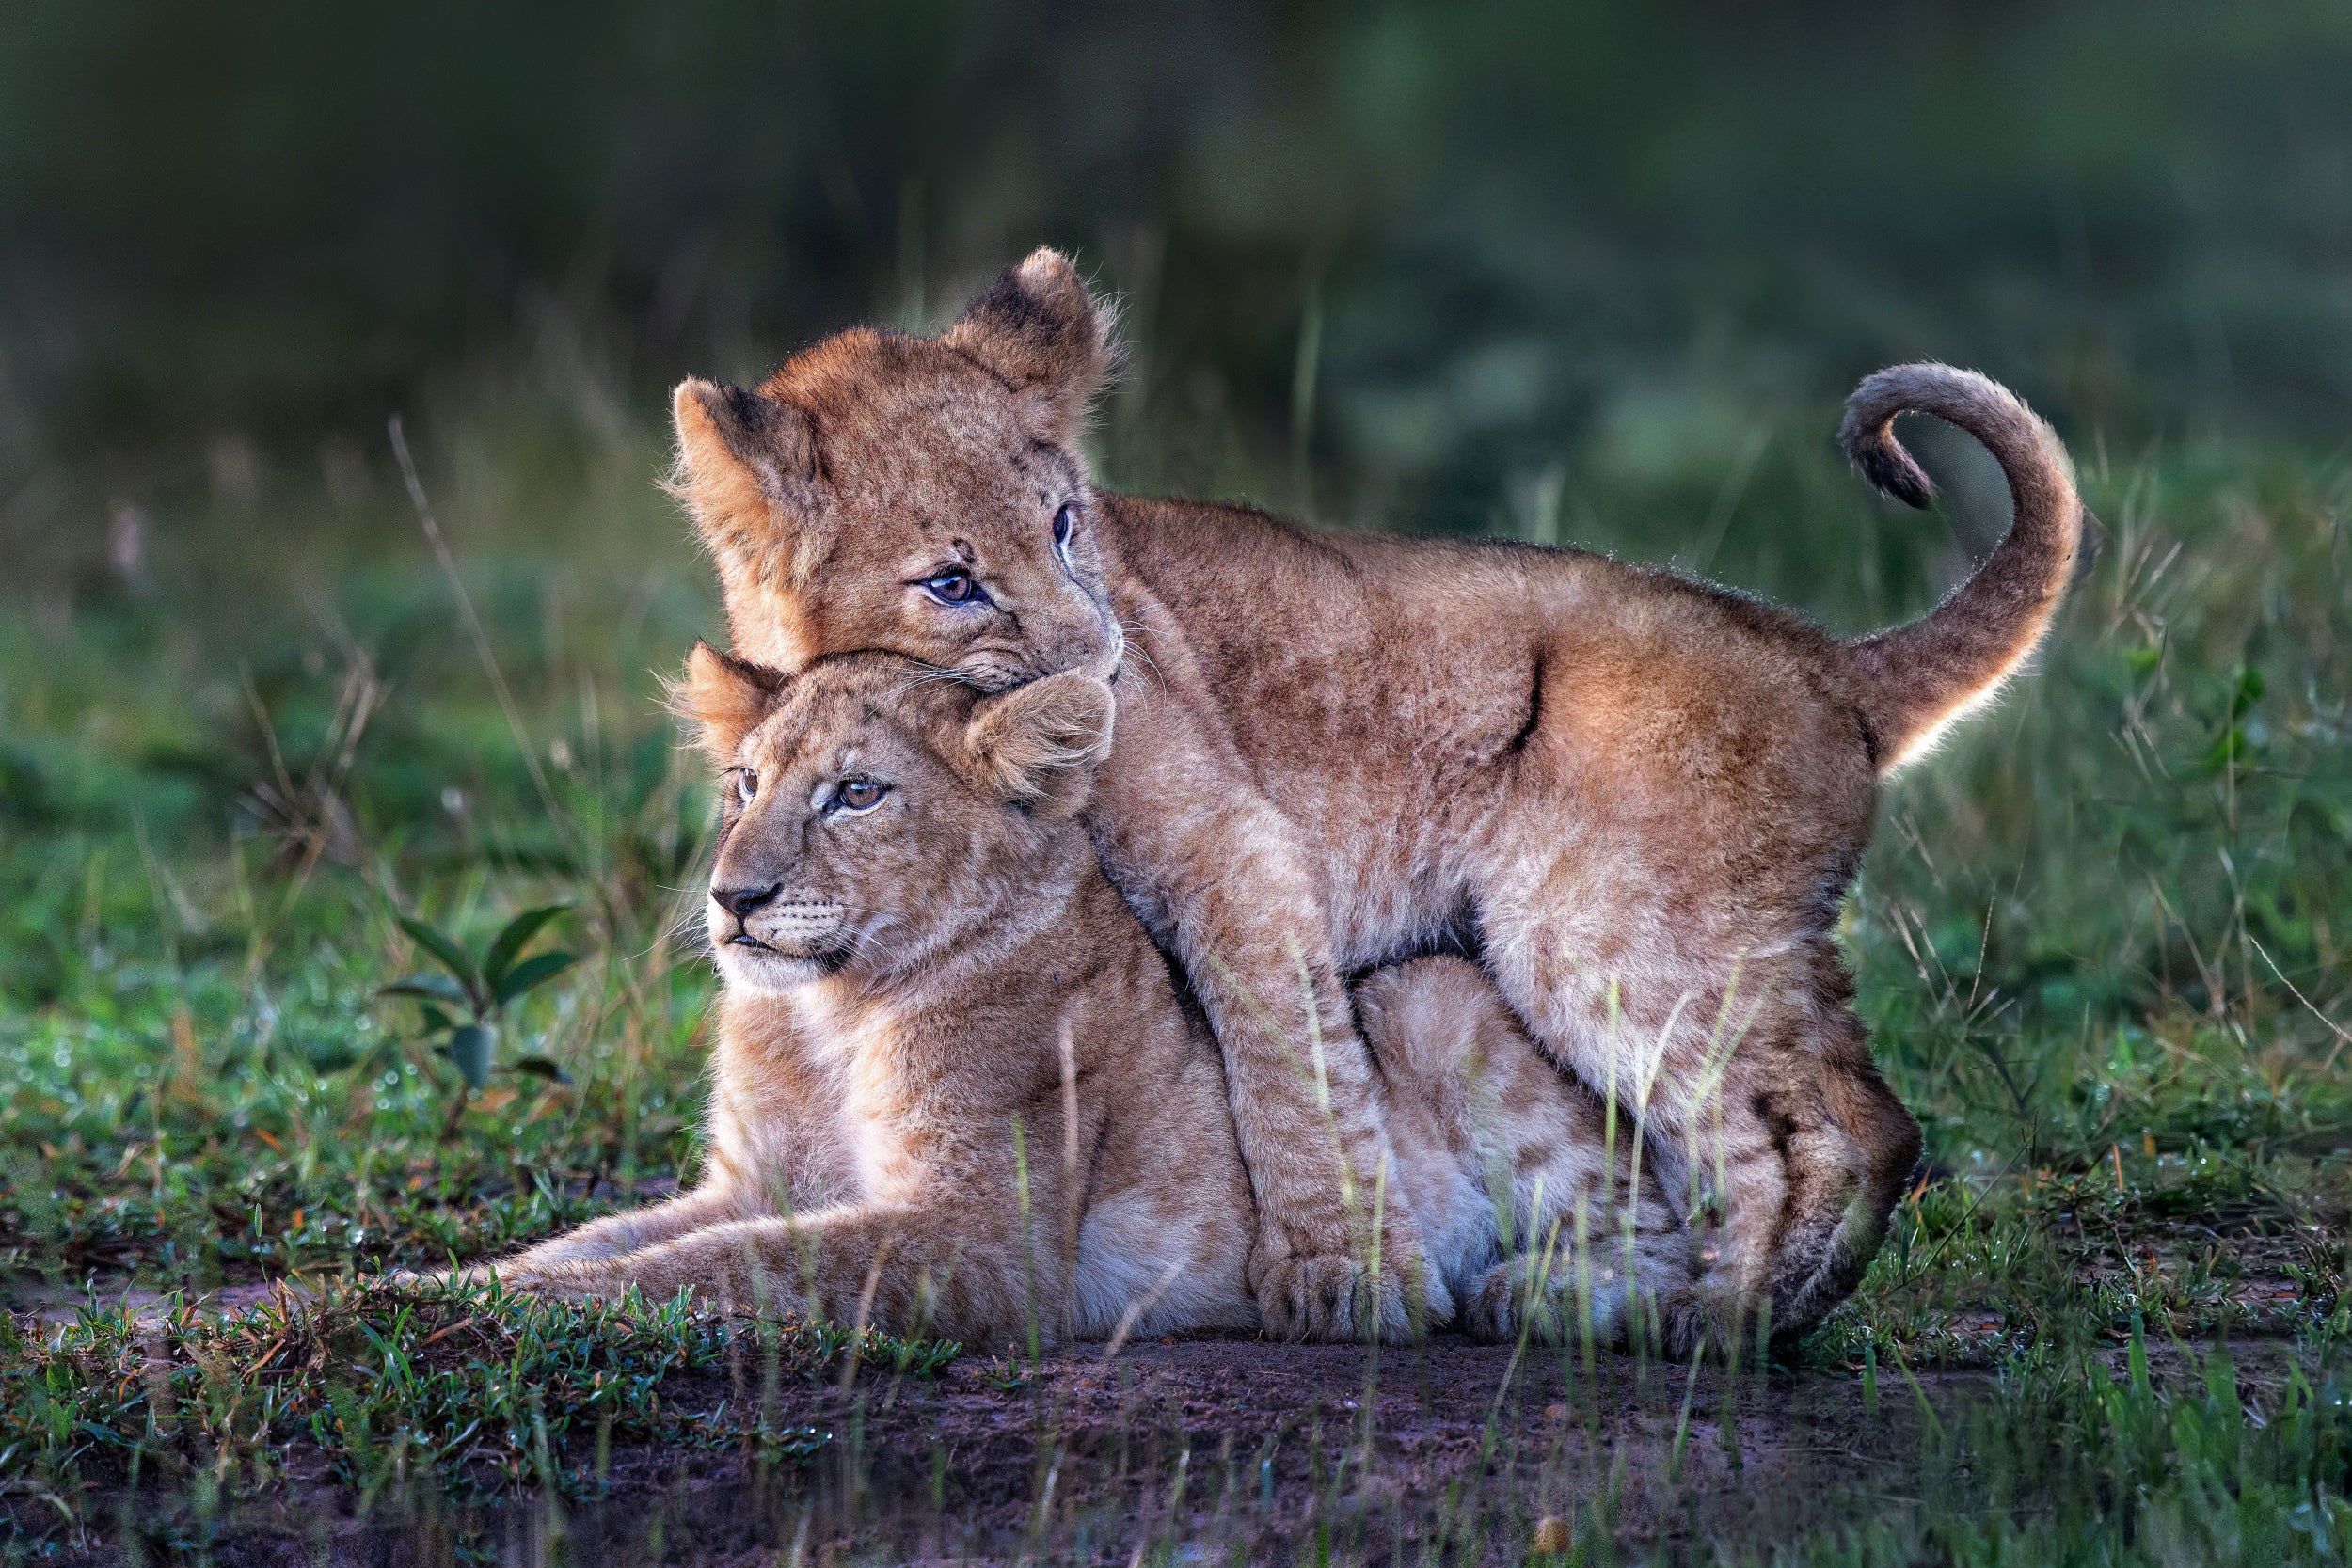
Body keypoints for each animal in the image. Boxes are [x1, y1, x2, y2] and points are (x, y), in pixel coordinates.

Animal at [466, 648, 1697, 1351]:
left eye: (856, 793)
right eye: (745, 783)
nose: (733, 896)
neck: (826, 1013)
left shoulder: (983, 1240)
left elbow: (733, 1262)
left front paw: (533, 1305)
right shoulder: (749, 1182)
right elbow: (618, 1236)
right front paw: (462, 1280)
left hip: (1427, 989)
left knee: (1667, 1239)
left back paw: (1533, 1294)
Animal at [663, 249, 2085, 1343]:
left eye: (1068, 525)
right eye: (952, 582)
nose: (1104, 665)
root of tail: (1826, 656)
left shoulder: (1233, 845)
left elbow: (1286, 1060)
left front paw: (1342, 1276)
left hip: (1603, 933)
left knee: (1844, 1126)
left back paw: (1721, 1319)